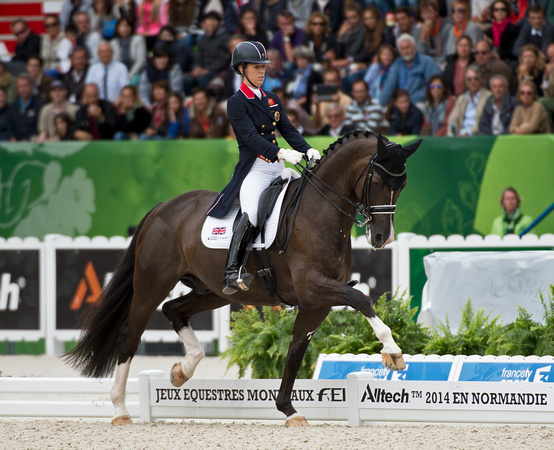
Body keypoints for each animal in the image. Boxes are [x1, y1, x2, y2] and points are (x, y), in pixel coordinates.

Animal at [64, 129, 418, 426]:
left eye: (401, 186)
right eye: (377, 182)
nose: (382, 238)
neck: (320, 210)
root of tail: (163, 207)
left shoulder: (315, 303)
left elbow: (295, 352)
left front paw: (289, 411)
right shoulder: (313, 288)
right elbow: (362, 298)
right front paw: (393, 352)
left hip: (214, 291)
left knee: (174, 310)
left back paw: (182, 370)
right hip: (153, 283)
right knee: (130, 334)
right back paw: (120, 410)